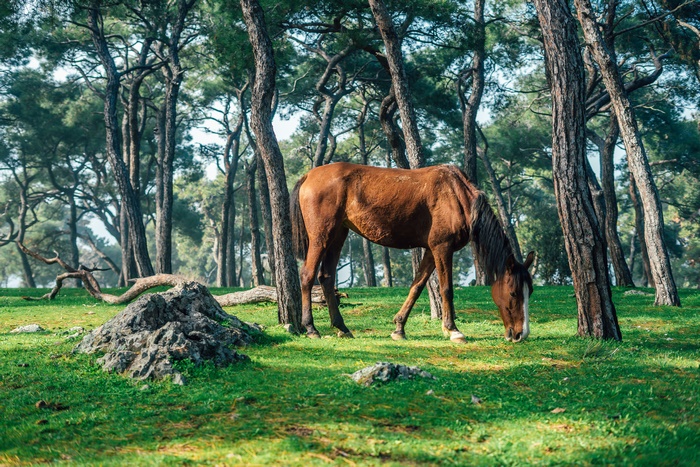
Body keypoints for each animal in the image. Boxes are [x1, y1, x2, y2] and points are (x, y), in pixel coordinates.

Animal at [290, 162, 534, 343]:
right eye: (513, 293)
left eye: (529, 291)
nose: (520, 334)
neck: (457, 195)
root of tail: (308, 175)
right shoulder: (442, 248)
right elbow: (446, 290)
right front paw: (453, 330)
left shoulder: (431, 251)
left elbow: (416, 287)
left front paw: (399, 328)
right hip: (321, 236)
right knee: (307, 276)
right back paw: (311, 328)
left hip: (338, 235)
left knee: (326, 277)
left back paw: (342, 327)